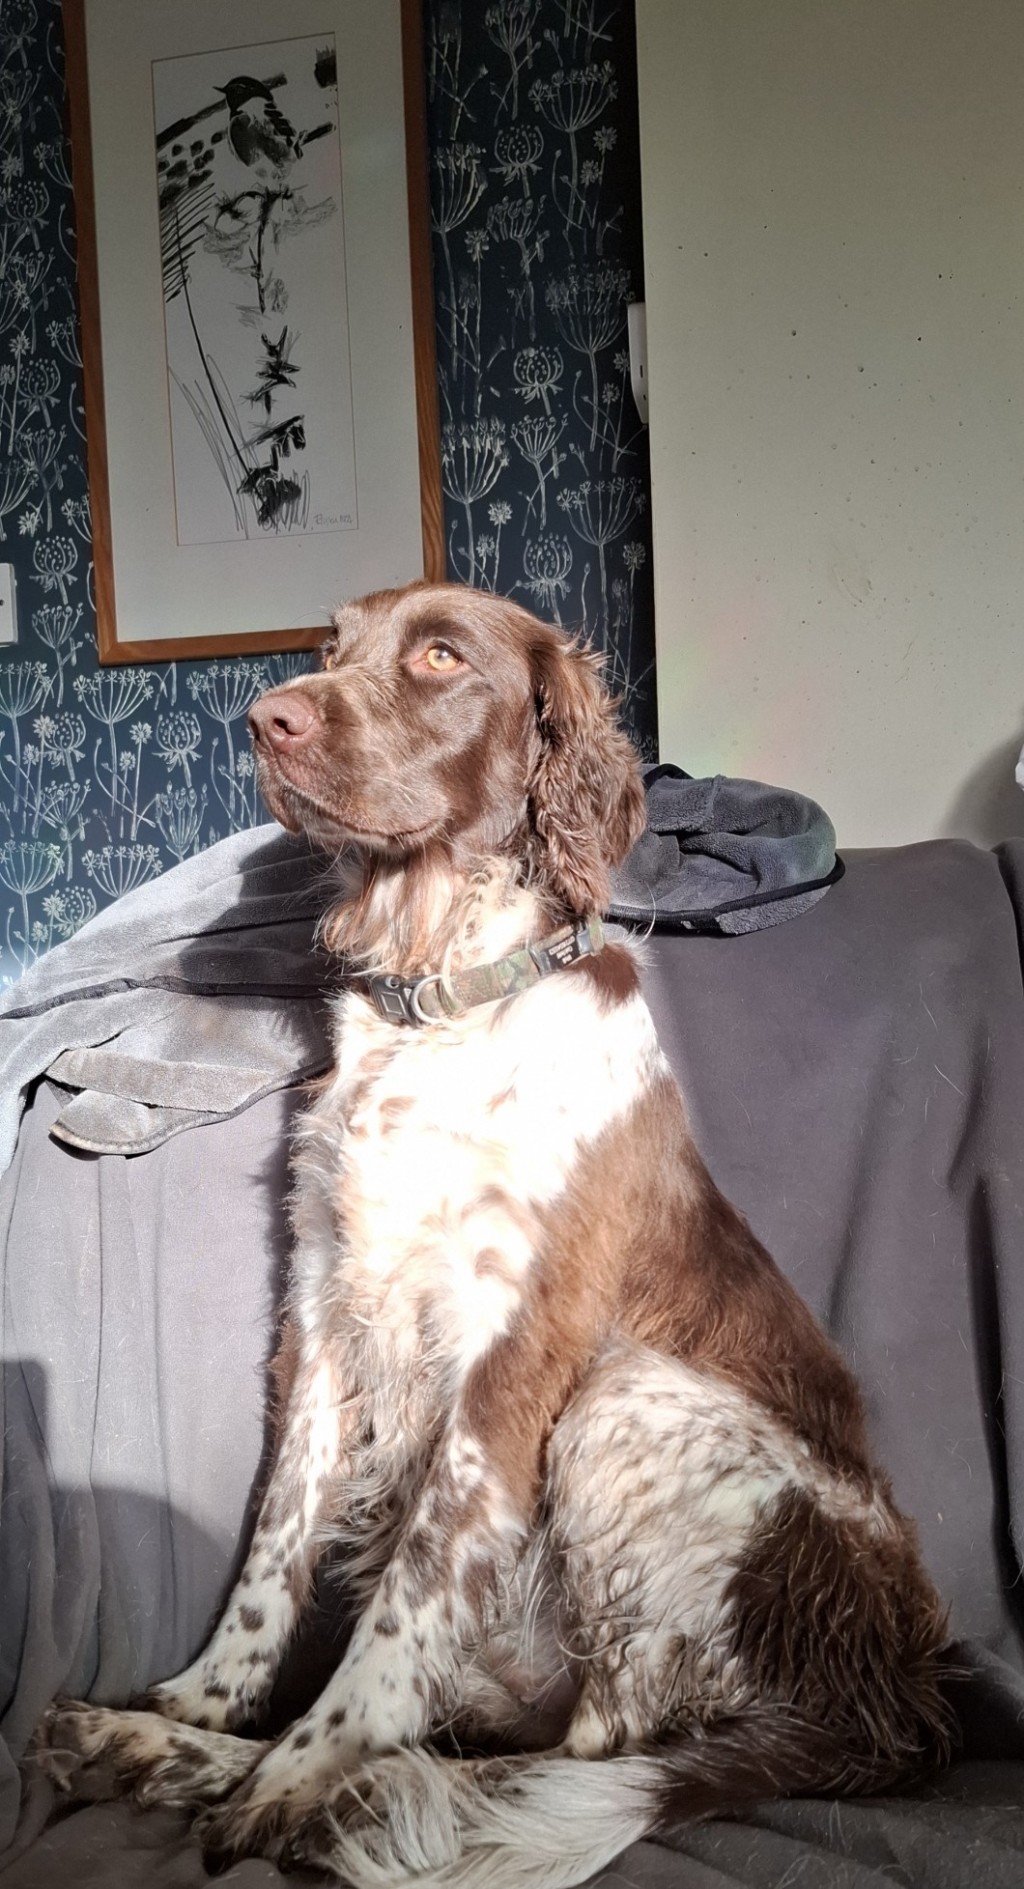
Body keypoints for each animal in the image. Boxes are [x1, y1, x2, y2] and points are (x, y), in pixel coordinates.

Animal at [40, 585, 955, 1889]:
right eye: (331, 650)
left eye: (439, 654)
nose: (265, 717)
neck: (439, 1002)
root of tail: (898, 1707)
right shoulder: (323, 1317)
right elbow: (275, 1549)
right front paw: (200, 1703)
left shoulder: (508, 1351)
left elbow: (407, 1595)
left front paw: (300, 1771)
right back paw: (156, 1744)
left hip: (626, 1397)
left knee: (574, 1752)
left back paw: (314, 1792)